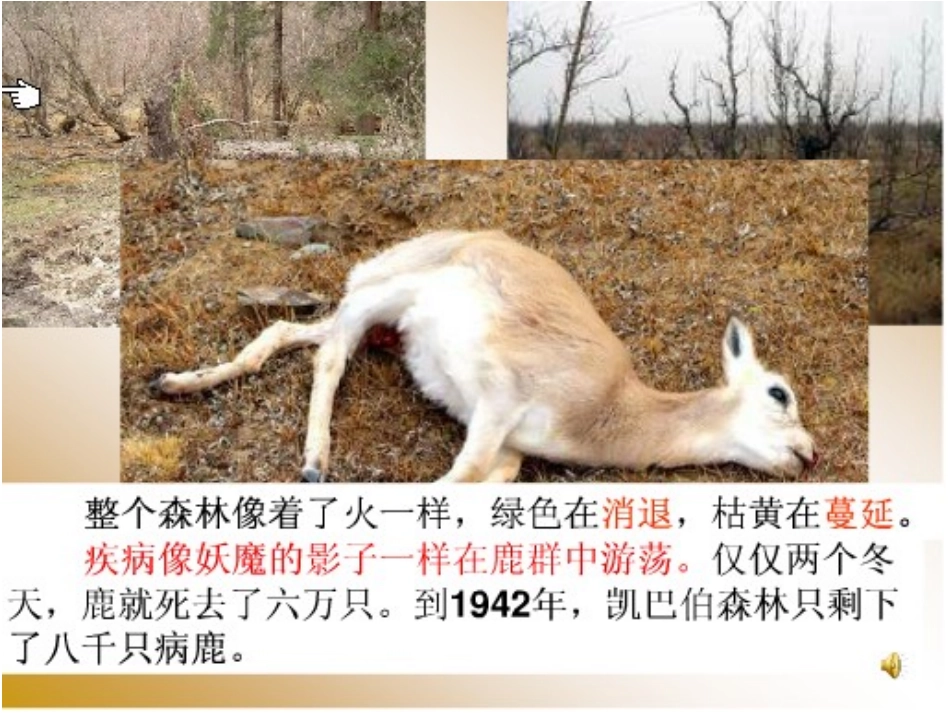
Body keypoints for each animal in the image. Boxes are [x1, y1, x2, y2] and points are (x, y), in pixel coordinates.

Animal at [150, 229, 819, 483]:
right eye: (779, 392)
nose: (810, 454)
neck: (609, 407)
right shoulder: (498, 405)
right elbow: (461, 477)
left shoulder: (511, 449)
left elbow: (484, 480)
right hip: (386, 297)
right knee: (330, 356)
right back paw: (315, 461)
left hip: (377, 321)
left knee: (289, 331)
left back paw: (174, 382)